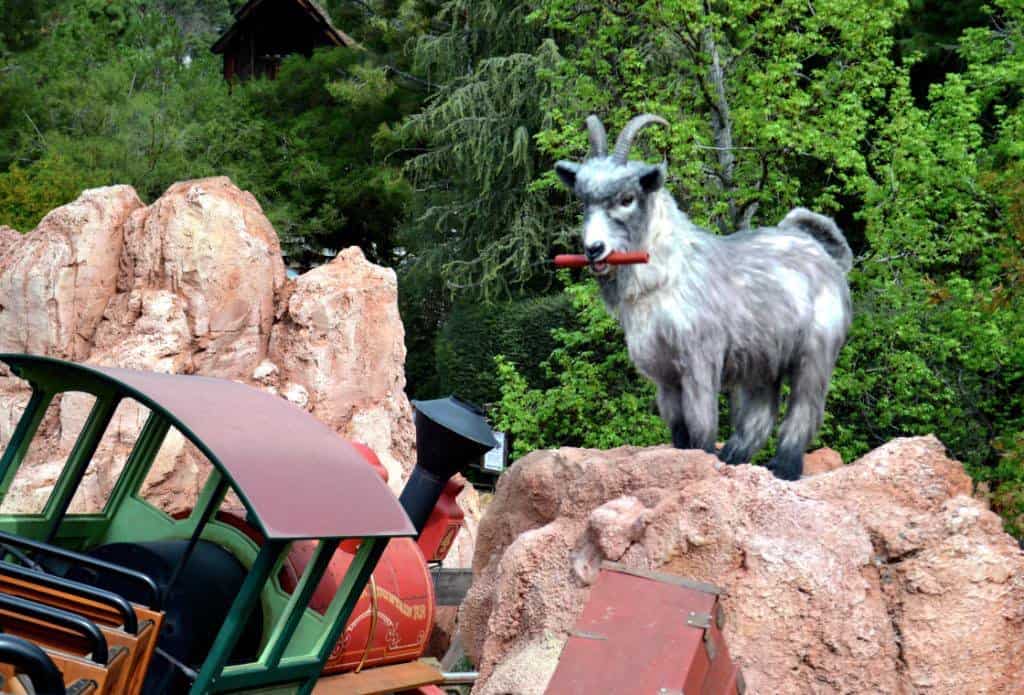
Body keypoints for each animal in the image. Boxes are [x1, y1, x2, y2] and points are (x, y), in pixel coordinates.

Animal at [554, 114, 852, 480]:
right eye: (584, 201)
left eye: (627, 198)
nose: (594, 249)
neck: (669, 273)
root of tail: (822, 251)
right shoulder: (664, 375)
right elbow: (679, 430)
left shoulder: (699, 361)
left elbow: (701, 425)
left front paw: (703, 458)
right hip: (764, 358)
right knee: (762, 411)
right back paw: (735, 457)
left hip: (816, 350)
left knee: (805, 409)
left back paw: (783, 467)